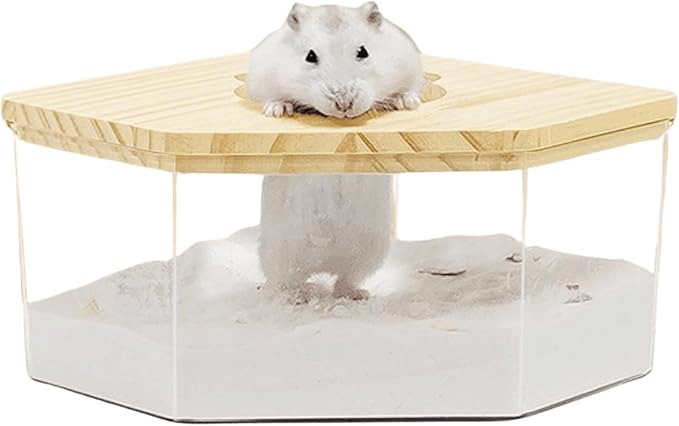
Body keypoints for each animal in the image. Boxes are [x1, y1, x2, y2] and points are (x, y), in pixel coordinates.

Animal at [247, 2, 425, 118]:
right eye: (310, 56)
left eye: (363, 52)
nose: (344, 105)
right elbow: (273, 97)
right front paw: (278, 111)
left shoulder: (411, 66)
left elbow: (409, 89)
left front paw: (407, 103)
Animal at [259, 175, 395, 303]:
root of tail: (325, 263)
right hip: (285, 253)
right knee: (288, 282)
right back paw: (299, 297)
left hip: (369, 253)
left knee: (344, 281)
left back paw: (357, 294)